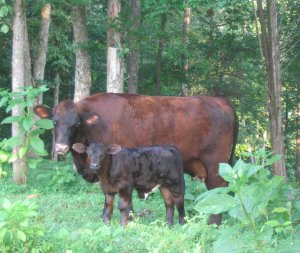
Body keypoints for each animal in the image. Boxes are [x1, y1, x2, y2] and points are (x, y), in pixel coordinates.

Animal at [34, 93, 238, 223]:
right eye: (55, 121)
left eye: (76, 123)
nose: (60, 148)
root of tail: (222, 102)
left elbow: (125, 201)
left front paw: (129, 219)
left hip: (215, 165)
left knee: (218, 188)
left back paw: (214, 222)